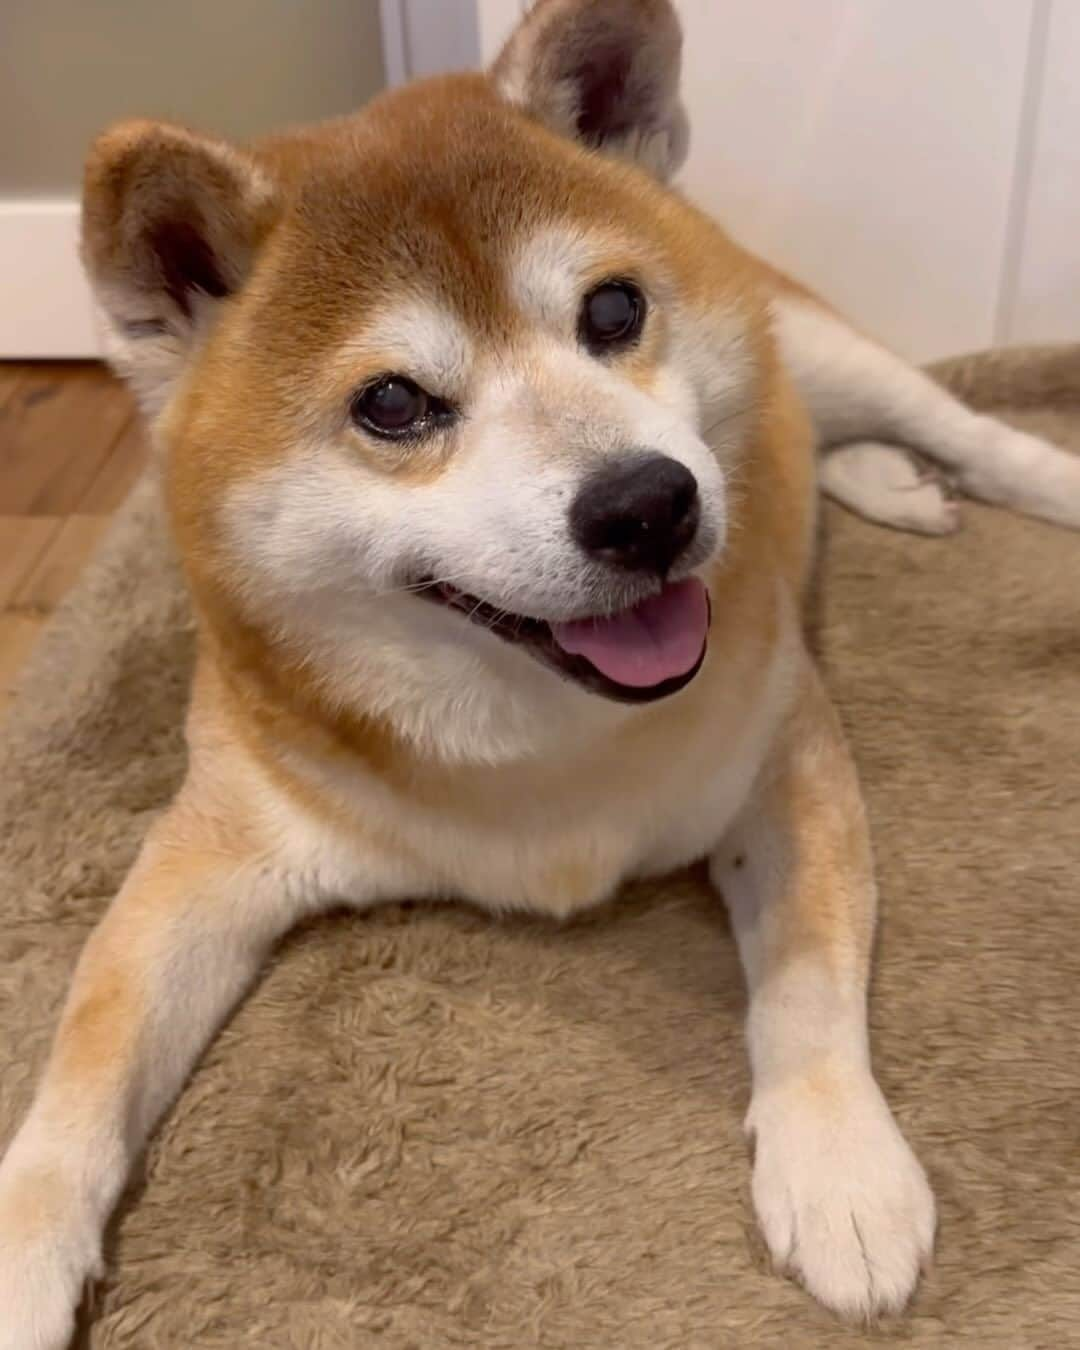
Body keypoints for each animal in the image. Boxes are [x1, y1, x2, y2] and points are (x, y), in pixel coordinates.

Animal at [4, 5, 1074, 1344]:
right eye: (392, 403)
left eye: (611, 312)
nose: (651, 505)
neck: (542, 736)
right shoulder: (213, 849)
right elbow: (82, 1063)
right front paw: (22, 1256)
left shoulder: (783, 753)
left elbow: (808, 980)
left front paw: (839, 1171)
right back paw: (880, 480)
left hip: (830, 349)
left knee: (955, 428)